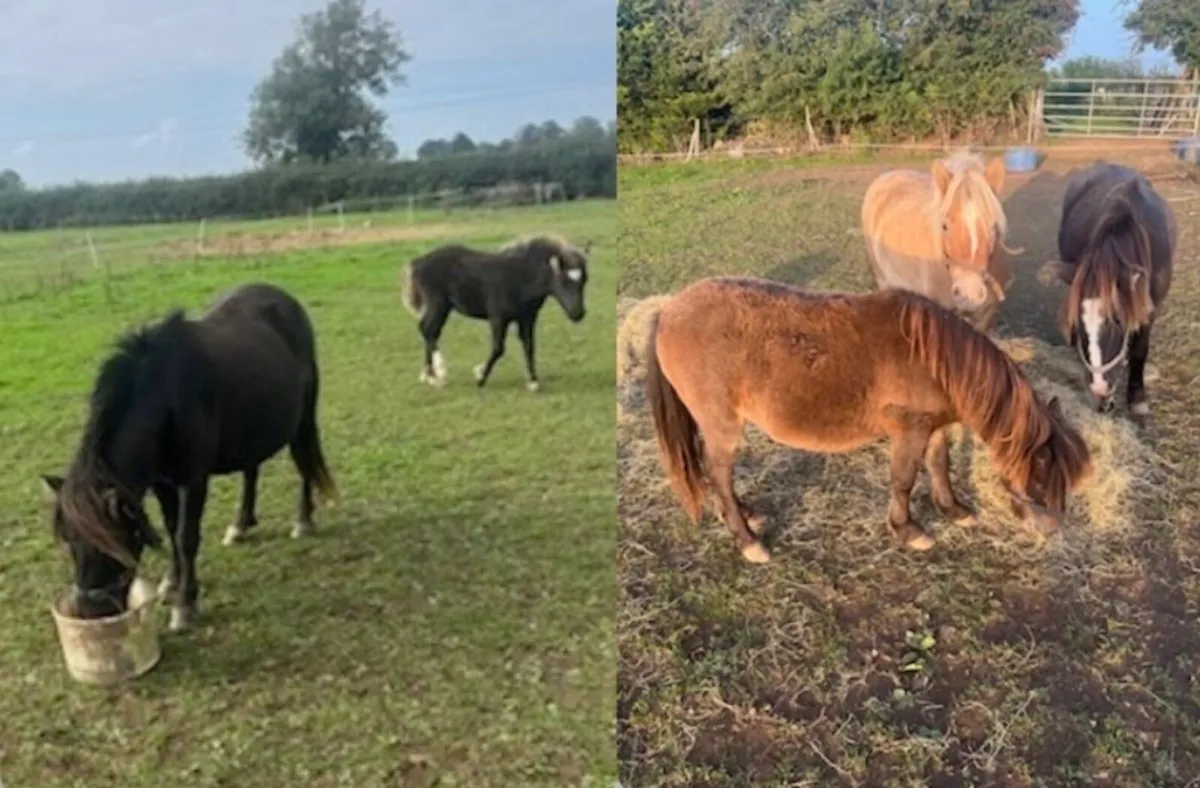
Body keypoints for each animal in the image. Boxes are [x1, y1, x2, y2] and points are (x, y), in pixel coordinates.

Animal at [41, 283, 337, 632]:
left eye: (110, 542)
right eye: (68, 541)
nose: (89, 612)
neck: (165, 401)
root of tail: (283, 298)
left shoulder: (193, 481)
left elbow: (185, 537)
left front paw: (185, 604)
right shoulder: (161, 482)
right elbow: (171, 528)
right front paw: (171, 583)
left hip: (301, 419)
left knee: (303, 464)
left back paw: (302, 520)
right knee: (251, 469)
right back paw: (241, 524)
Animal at [399, 235, 590, 392]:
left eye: (584, 280)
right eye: (563, 280)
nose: (578, 313)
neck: (520, 277)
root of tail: (418, 262)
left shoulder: (527, 318)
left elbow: (529, 345)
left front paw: (533, 382)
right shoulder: (498, 317)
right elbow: (498, 348)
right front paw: (480, 376)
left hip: (443, 307)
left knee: (430, 331)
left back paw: (429, 376)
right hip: (438, 304)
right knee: (427, 330)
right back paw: (439, 372)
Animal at [644, 276, 1091, 563]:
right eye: (1041, 478)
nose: (1052, 529)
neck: (934, 358)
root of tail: (667, 312)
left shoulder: (932, 427)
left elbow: (939, 465)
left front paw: (954, 510)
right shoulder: (909, 431)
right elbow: (904, 479)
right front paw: (908, 530)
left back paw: (745, 514)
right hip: (722, 424)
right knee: (719, 474)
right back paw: (748, 541)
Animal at [861, 150, 1016, 333]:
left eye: (993, 227)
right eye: (944, 226)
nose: (968, 293)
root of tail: (887, 176)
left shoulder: (985, 318)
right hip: (882, 278)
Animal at [1043, 162, 1175, 416]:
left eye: (1117, 320)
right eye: (1079, 323)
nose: (1099, 387)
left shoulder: (1150, 308)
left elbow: (1140, 350)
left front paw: (1137, 397)